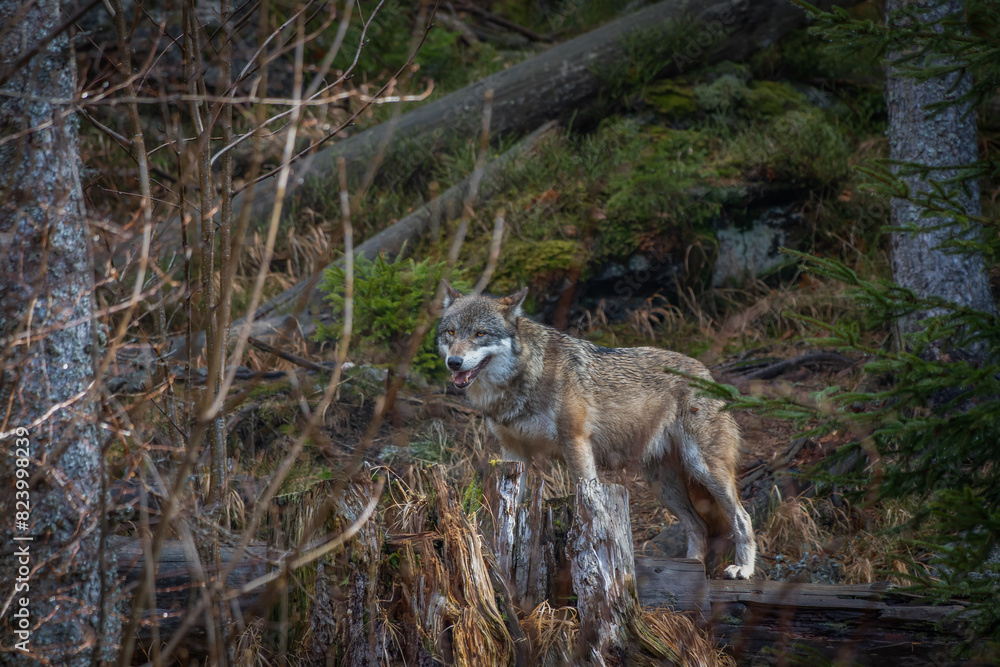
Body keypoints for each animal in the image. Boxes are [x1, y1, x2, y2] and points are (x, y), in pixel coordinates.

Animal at [437, 283, 756, 579]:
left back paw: (742, 568)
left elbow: (589, 503)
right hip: (663, 485)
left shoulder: (576, 442)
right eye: (451, 333)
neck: (525, 376)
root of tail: (707, 372)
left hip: (703, 469)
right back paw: (691, 572)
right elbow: (510, 510)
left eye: (480, 334)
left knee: (742, 517)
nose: (453, 362)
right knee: (699, 525)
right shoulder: (513, 454)